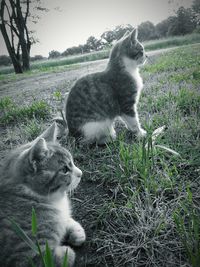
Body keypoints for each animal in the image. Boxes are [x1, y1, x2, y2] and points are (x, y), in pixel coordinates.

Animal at [0, 122, 85, 266]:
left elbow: (65, 220)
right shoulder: (28, 256)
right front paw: (67, 252)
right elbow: (63, 257)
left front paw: (75, 230)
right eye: (64, 169)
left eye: (73, 162)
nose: (81, 173)